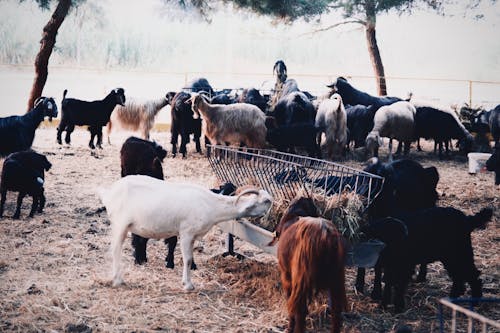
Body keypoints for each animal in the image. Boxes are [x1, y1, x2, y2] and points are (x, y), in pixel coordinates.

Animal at [96, 175, 270, 290]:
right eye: (265, 201)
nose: (272, 206)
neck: (212, 205)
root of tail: (109, 193)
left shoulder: (192, 236)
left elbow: (190, 258)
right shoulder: (186, 232)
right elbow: (187, 260)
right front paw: (188, 285)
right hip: (120, 223)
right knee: (115, 250)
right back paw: (117, 280)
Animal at [366, 205, 494, 312]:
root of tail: (467, 220)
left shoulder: (405, 266)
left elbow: (400, 285)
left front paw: (398, 306)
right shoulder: (390, 266)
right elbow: (388, 284)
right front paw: (384, 305)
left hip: (459, 254)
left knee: (472, 275)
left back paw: (474, 301)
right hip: (452, 257)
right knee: (459, 276)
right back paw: (453, 298)